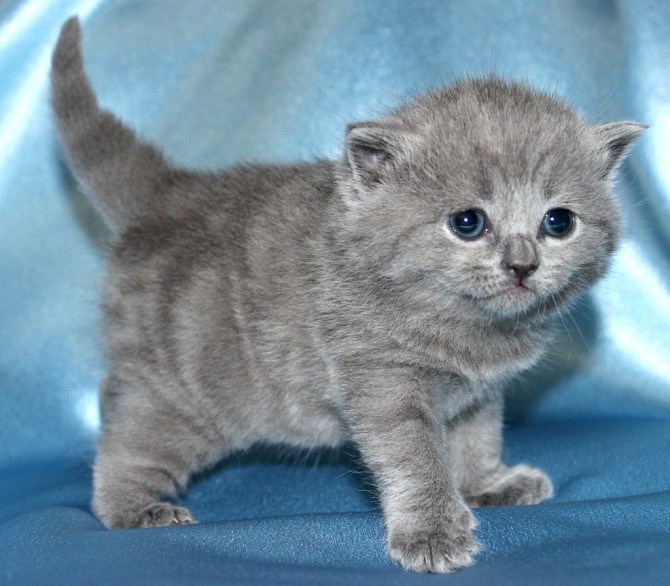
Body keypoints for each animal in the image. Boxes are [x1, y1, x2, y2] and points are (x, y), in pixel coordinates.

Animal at [50, 17, 644, 572]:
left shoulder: (478, 393)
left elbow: (477, 440)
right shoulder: (381, 379)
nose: (522, 264)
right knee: (125, 444)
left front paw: (487, 485)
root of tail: (169, 193)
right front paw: (433, 533)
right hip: (186, 393)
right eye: (468, 222)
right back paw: (137, 509)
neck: (467, 329)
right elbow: (417, 459)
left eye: (558, 222)